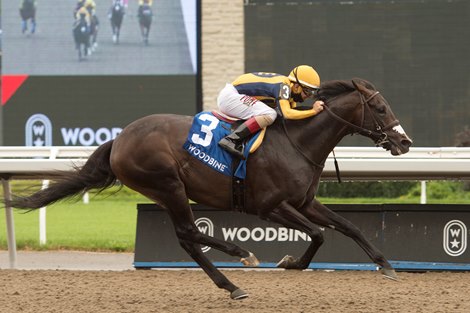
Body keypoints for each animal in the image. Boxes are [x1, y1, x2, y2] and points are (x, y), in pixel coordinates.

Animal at [6, 78, 412, 298]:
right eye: (379, 107)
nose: (404, 142)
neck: (298, 142)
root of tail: (119, 139)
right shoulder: (270, 206)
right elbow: (319, 234)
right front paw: (291, 262)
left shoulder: (304, 201)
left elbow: (347, 226)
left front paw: (386, 265)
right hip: (168, 184)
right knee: (188, 233)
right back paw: (239, 259)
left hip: (167, 191)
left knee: (188, 238)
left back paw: (231, 280)